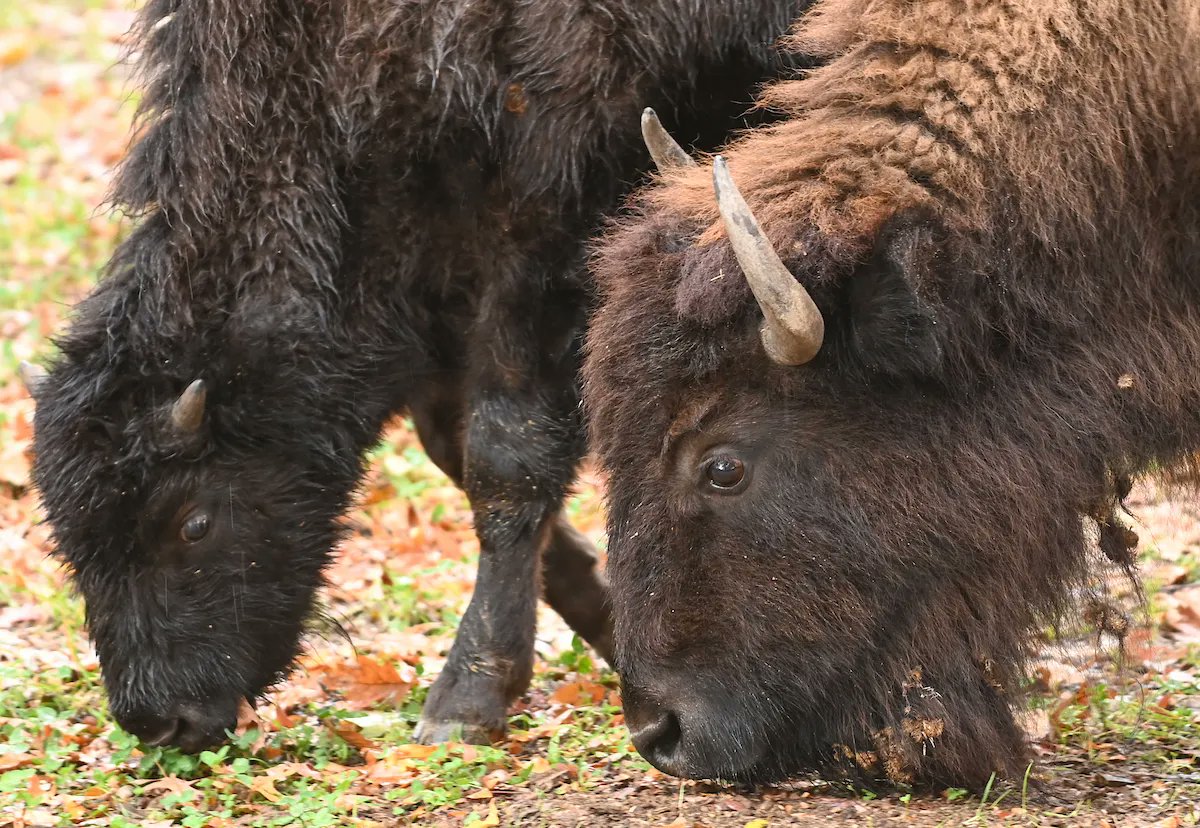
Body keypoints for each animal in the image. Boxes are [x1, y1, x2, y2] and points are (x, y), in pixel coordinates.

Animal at [21, 0, 812, 752]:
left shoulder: (536, 251)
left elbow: (505, 460)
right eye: (69, 540)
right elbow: (455, 453)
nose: (157, 721)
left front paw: (465, 702)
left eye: (193, 521)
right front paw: (615, 630)